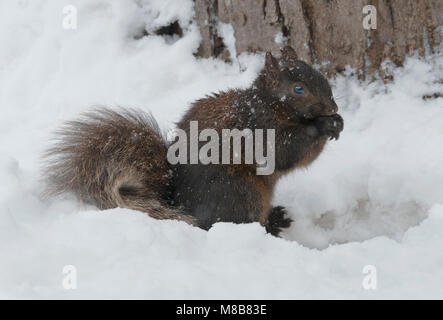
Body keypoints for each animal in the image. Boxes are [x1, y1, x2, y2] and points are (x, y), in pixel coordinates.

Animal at [43, 45, 344, 235]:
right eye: (298, 89)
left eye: (319, 75)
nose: (333, 107)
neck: (270, 104)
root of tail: (183, 207)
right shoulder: (258, 129)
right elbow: (285, 152)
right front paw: (324, 125)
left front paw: (337, 122)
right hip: (240, 193)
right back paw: (270, 226)